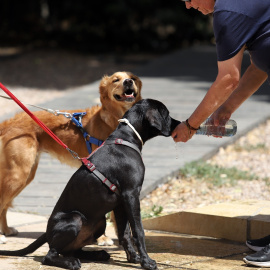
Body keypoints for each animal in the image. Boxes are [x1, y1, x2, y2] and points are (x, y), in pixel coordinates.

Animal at [0, 71, 142, 238]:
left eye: (132, 78)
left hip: (25, 174)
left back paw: (6, 230)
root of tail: (8, 122)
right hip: (18, 175)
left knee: (4, 205)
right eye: (116, 80)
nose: (128, 82)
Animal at [0, 99, 179, 270]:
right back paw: (71, 263)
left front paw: (133, 258)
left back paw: (97, 254)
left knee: (72, 250)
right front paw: (146, 262)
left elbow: (125, 233)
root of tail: (47, 233)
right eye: (166, 114)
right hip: (74, 218)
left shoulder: (121, 202)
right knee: (50, 255)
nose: (178, 123)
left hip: (100, 222)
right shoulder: (131, 195)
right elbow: (138, 231)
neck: (125, 139)